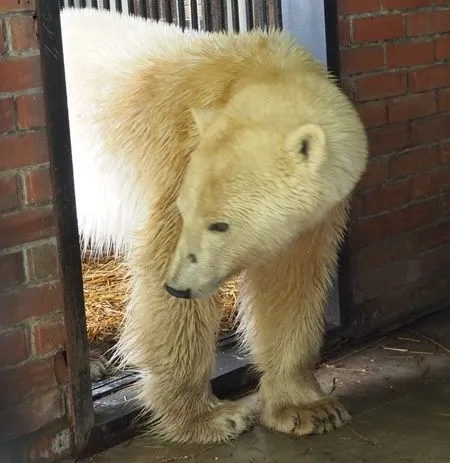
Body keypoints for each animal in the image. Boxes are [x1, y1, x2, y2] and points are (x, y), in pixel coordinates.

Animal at [59, 6, 368, 446]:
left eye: (221, 225)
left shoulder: (317, 214)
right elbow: (165, 275)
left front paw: (308, 408)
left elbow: (291, 282)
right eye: (193, 214)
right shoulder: (181, 156)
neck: (260, 73)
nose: (179, 286)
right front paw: (207, 418)